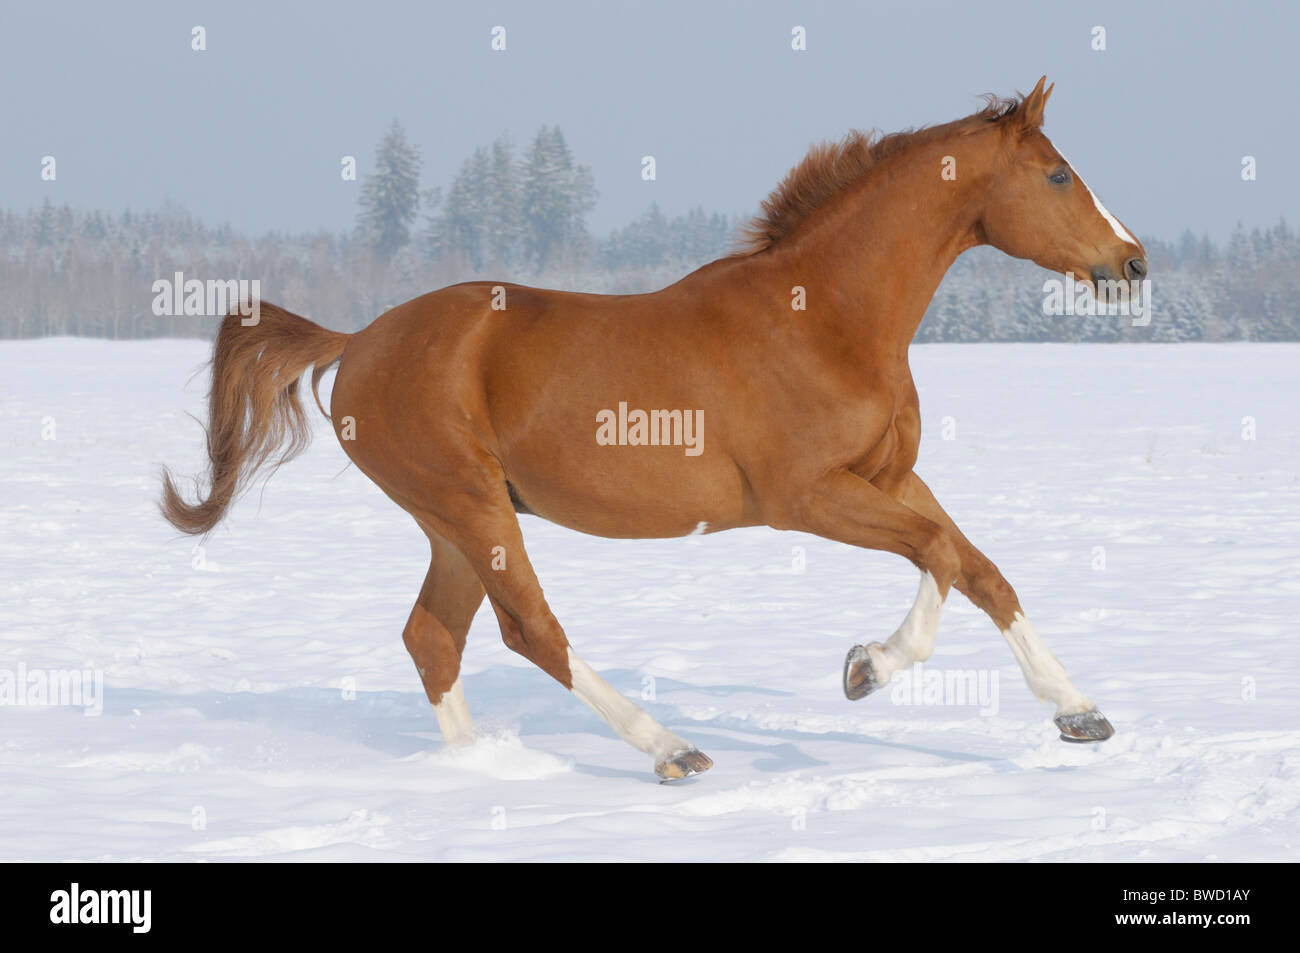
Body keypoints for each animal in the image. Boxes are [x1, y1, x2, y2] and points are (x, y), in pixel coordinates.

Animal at [165, 79, 1149, 780]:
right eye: (1059, 173)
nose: (1133, 261)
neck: (827, 318)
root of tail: (357, 341)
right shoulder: (807, 498)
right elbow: (940, 558)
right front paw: (865, 668)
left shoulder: (891, 477)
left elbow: (983, 570)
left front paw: (1080, 713)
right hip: (470, 504)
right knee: (530, 630)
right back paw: (670, 749)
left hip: (456, 521)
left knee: (433, 636)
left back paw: (483, 768)